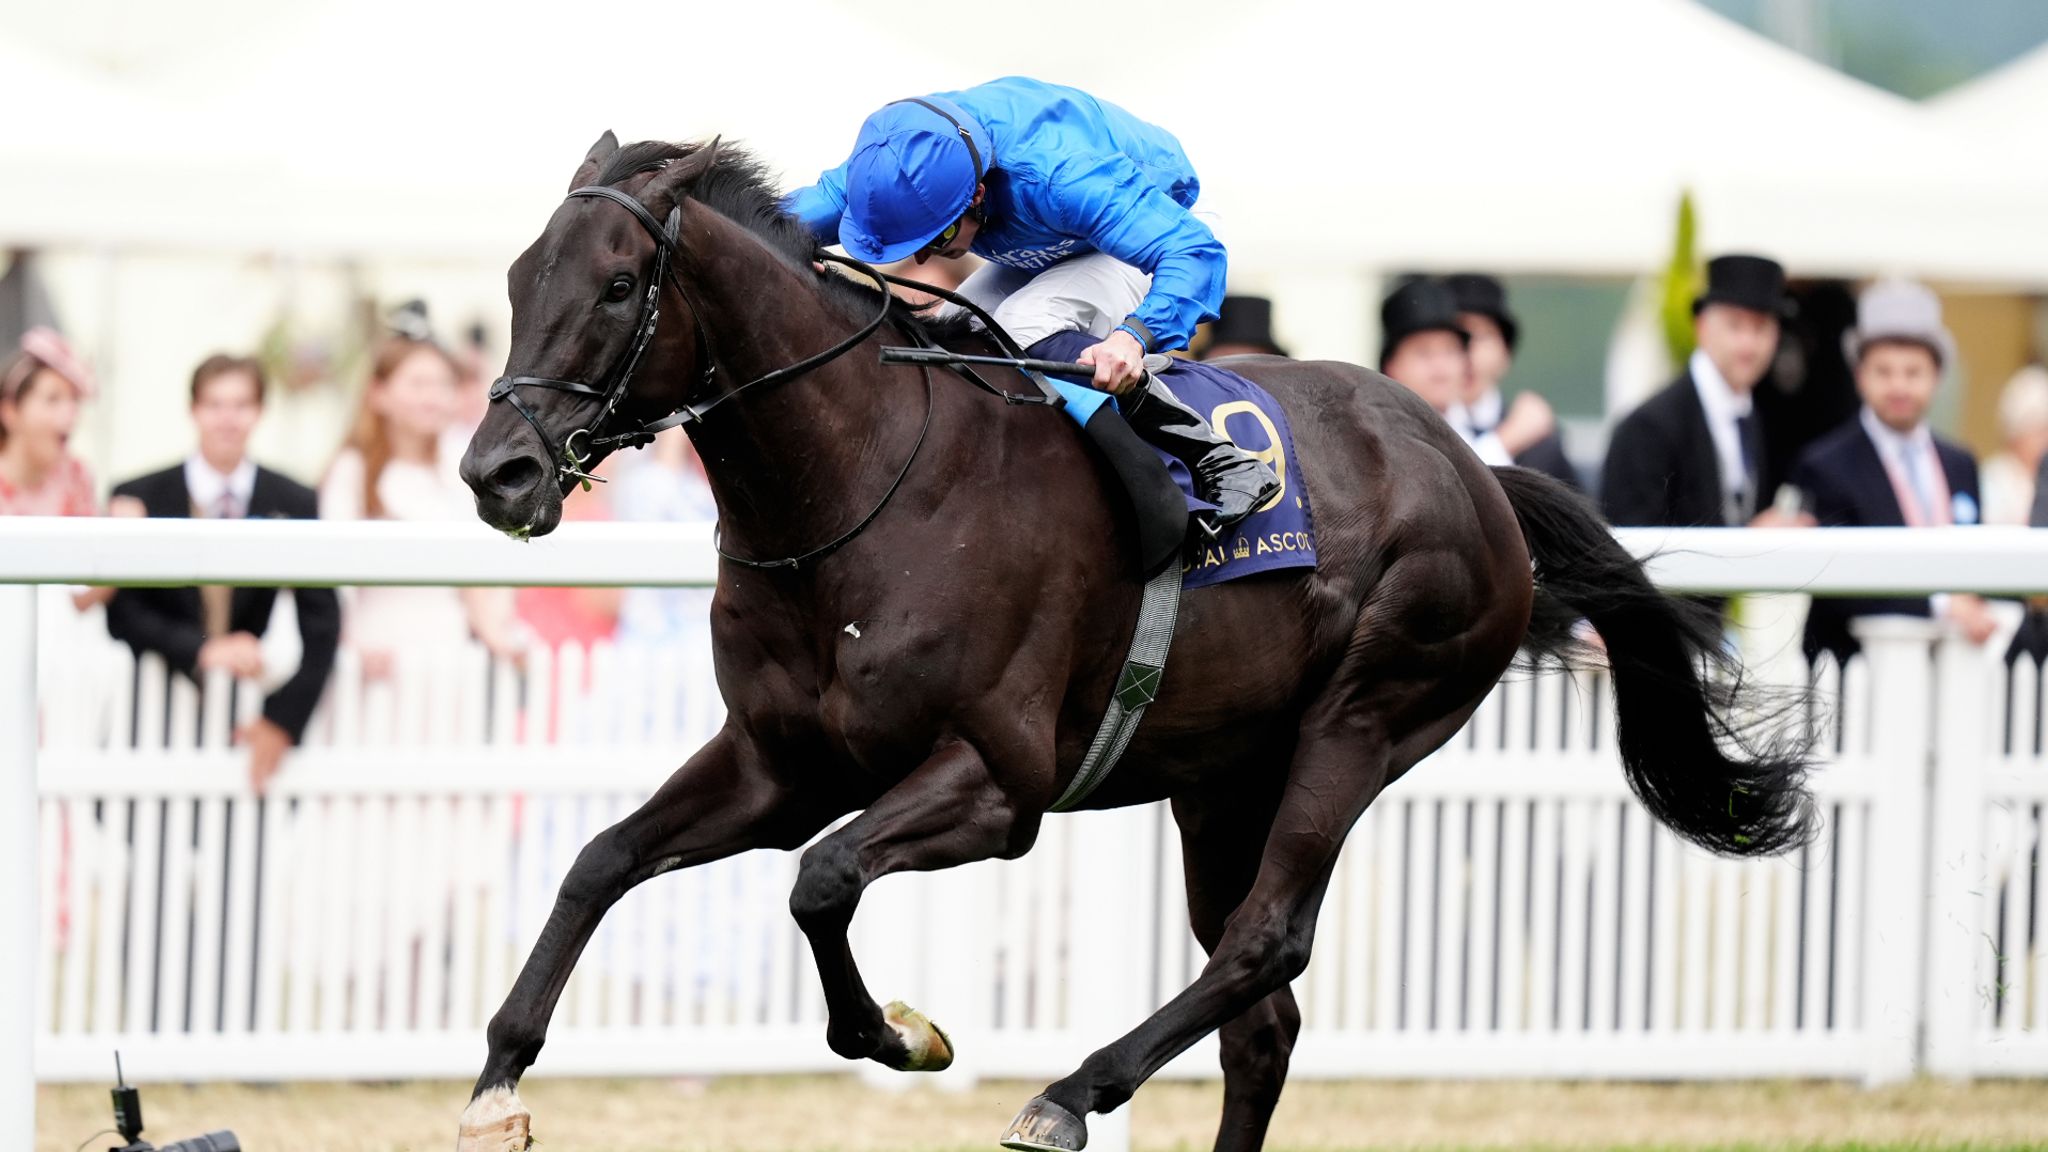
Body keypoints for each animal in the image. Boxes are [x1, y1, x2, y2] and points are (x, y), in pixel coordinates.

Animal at [453, 133, 1813, 1152]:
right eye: (516, 281)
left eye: (618, 287)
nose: (495, 472)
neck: (857, 483)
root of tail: (1476, 468)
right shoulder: (780, 764)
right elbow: (601, 860)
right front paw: (496, 1085)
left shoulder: (997, 785)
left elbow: (821, 880)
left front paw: (901, 1035)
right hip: (1221, 779)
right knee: (1263, 1021)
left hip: (1366, 720)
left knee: (1267, 940)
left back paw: (1068, 1094)